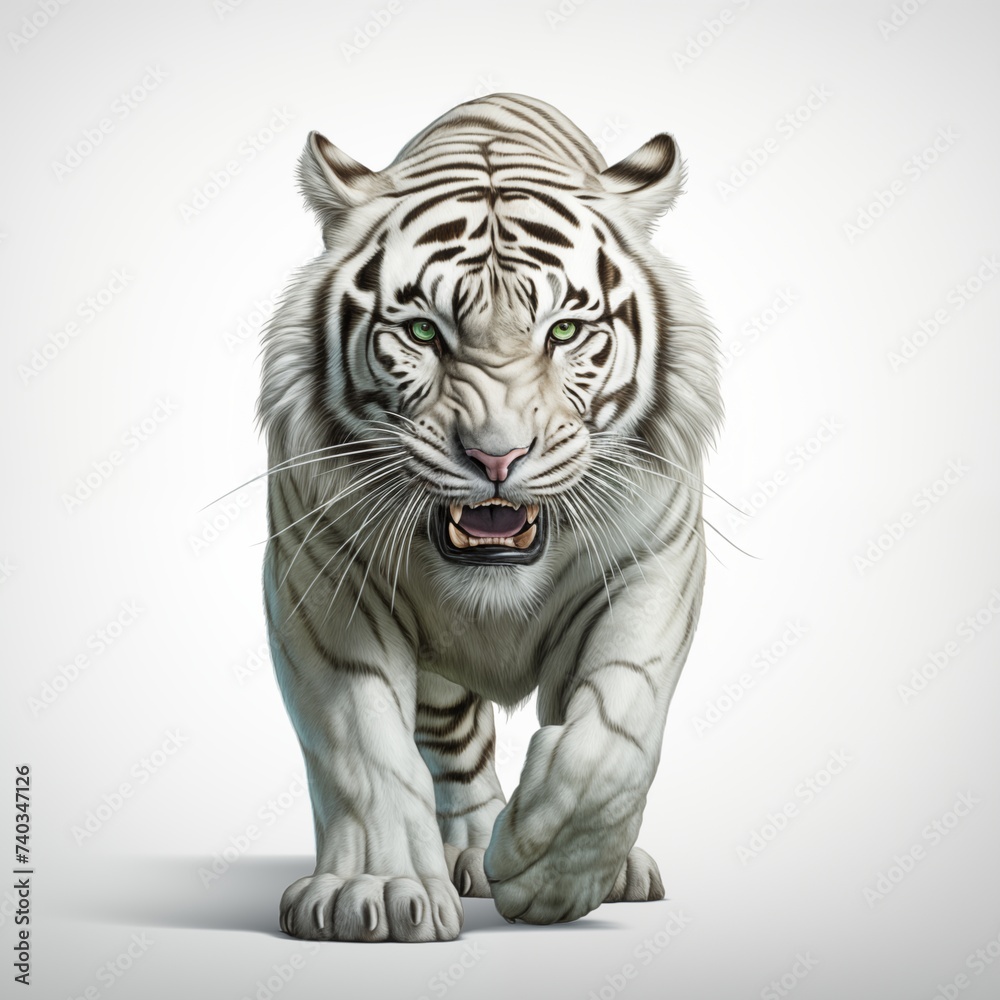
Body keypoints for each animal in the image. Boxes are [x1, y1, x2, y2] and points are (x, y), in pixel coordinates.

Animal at [257, 93, 722, 942]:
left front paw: (547, 872)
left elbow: (614, 735)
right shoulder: (323, 580)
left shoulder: (653, 565)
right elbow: (363, 744)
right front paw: (375, 891)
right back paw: (471, 847)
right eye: (422, 332)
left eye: (564, 331)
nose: (497, 457)